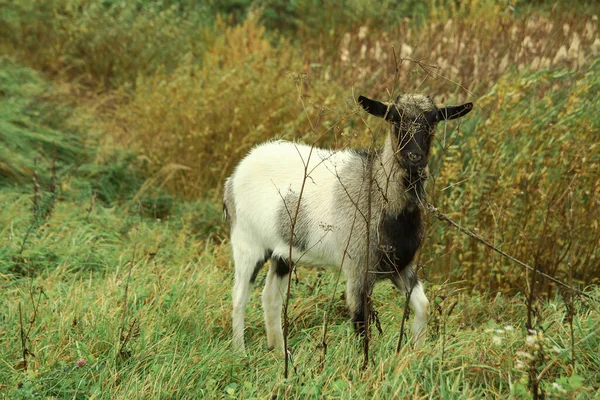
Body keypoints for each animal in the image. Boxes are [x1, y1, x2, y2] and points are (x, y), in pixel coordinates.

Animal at [225, 93, 474, 354]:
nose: (414, 158)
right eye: (394, 119)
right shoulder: (358, 270)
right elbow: (361, 324)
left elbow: (423, 306)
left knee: (270, 298)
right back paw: (240, 352)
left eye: (434, 119)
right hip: (247, 244)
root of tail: (235, 174)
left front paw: (415, 352)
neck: (377, 191)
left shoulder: (400, 267)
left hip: (282, 252)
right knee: (239, 297)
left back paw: (281, 352)